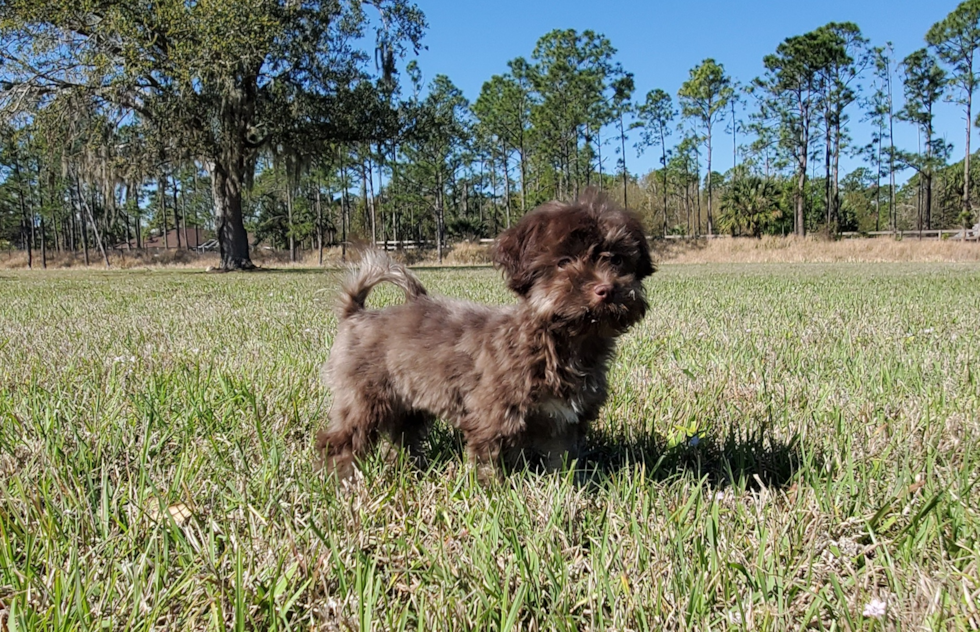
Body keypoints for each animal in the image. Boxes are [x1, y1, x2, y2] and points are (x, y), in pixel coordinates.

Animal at [316, 190, 652, 482]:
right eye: (564, 262)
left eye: (618, 259)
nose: (606, 289)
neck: (565, 344)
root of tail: (356, 313)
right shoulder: (494, 415)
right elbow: (489, 459)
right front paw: (492, 490)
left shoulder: (566, 422)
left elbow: (562, 460)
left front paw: (569, 488)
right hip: (363, 398)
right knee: (340, 440)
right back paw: (344, 480)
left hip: (408, 403)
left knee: (402, 437)